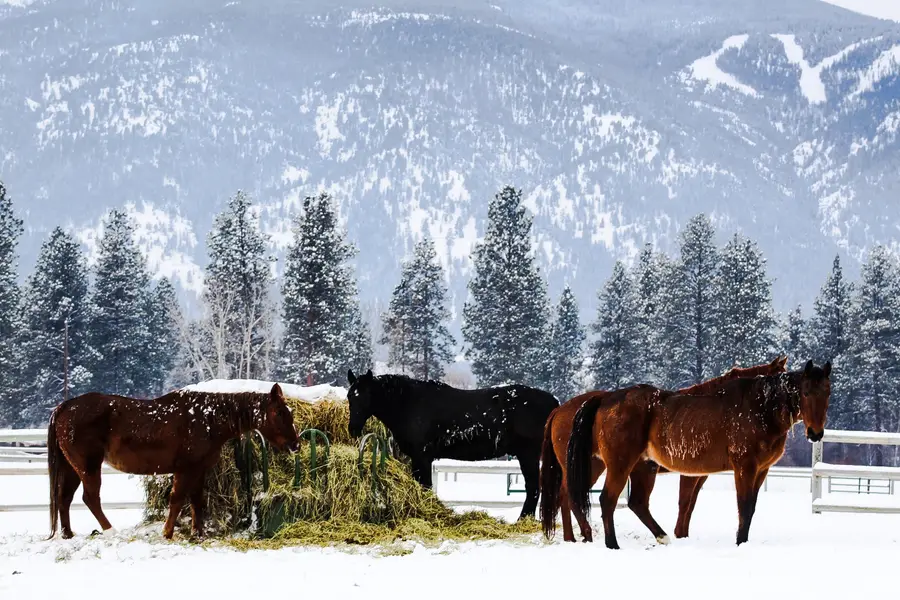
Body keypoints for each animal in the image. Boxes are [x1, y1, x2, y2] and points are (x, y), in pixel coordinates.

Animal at [46, 383, 300, 540]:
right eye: (279, 412)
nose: (295, 444)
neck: (207, 419)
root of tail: (64, 407)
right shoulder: (186, 469)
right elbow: (177, 499)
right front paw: (168, 532)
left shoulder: (199, 470)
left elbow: (197, 501)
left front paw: (198, 534)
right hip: (88, 467)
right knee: (90, 499)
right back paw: (109, 530)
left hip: (72, 468)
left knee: (64, 498)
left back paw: (67, 534)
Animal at [346, 369, 559, 521]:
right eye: (350, 396)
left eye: (366, 395)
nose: (353, 429)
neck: (409, 403)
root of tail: (554, 402)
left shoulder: (422, 457)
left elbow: (425, 486)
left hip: (528, 455)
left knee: (533, 487)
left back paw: (522, 519)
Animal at [566, 359, 831, 549]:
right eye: (806, 392)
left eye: (827, 393)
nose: (815, 433)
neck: (758, 409)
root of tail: (605, 398)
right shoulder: (743, 467)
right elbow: (742, 506)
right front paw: (740, 542)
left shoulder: (760, 470)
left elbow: (747, 508)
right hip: (618, 465)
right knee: (605, 500)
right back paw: (611, 544)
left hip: (642, 467)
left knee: (636, 503)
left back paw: (661, 537)